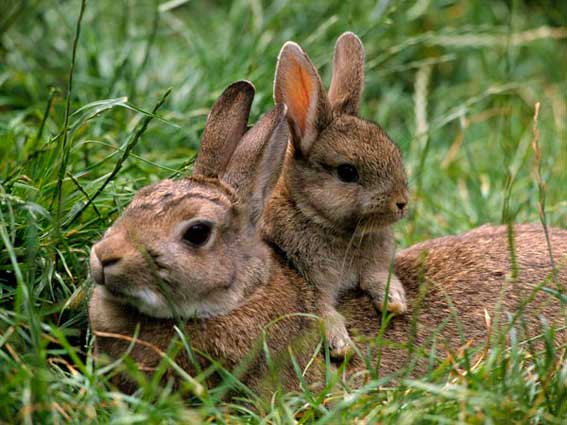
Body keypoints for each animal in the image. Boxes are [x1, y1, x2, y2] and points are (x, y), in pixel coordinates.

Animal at [262, 32, 408, 354]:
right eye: (347, 172)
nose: (401, 203)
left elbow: (378, 277)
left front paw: (395, 302)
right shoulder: (309, 280)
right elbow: (321, 309)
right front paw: (341, 344)